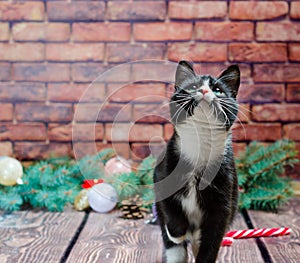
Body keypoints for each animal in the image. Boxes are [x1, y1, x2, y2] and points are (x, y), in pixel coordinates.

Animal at [154, 60, 240, 262]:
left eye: (218, 90)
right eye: (193, 87)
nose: (204, 90)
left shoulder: (224, 199)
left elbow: (212, 240)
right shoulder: (161, 172)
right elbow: (170, 207)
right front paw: (177, 232)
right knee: (175, 249)